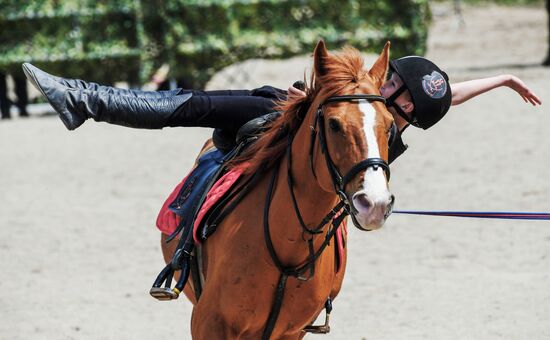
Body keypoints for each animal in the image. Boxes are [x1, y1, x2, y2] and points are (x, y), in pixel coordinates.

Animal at [162, 41, 394, 338]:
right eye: (334, 124)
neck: (288, 247)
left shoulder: (290, 331)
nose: (374, 204)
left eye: (390, 125)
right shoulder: (209, 323)